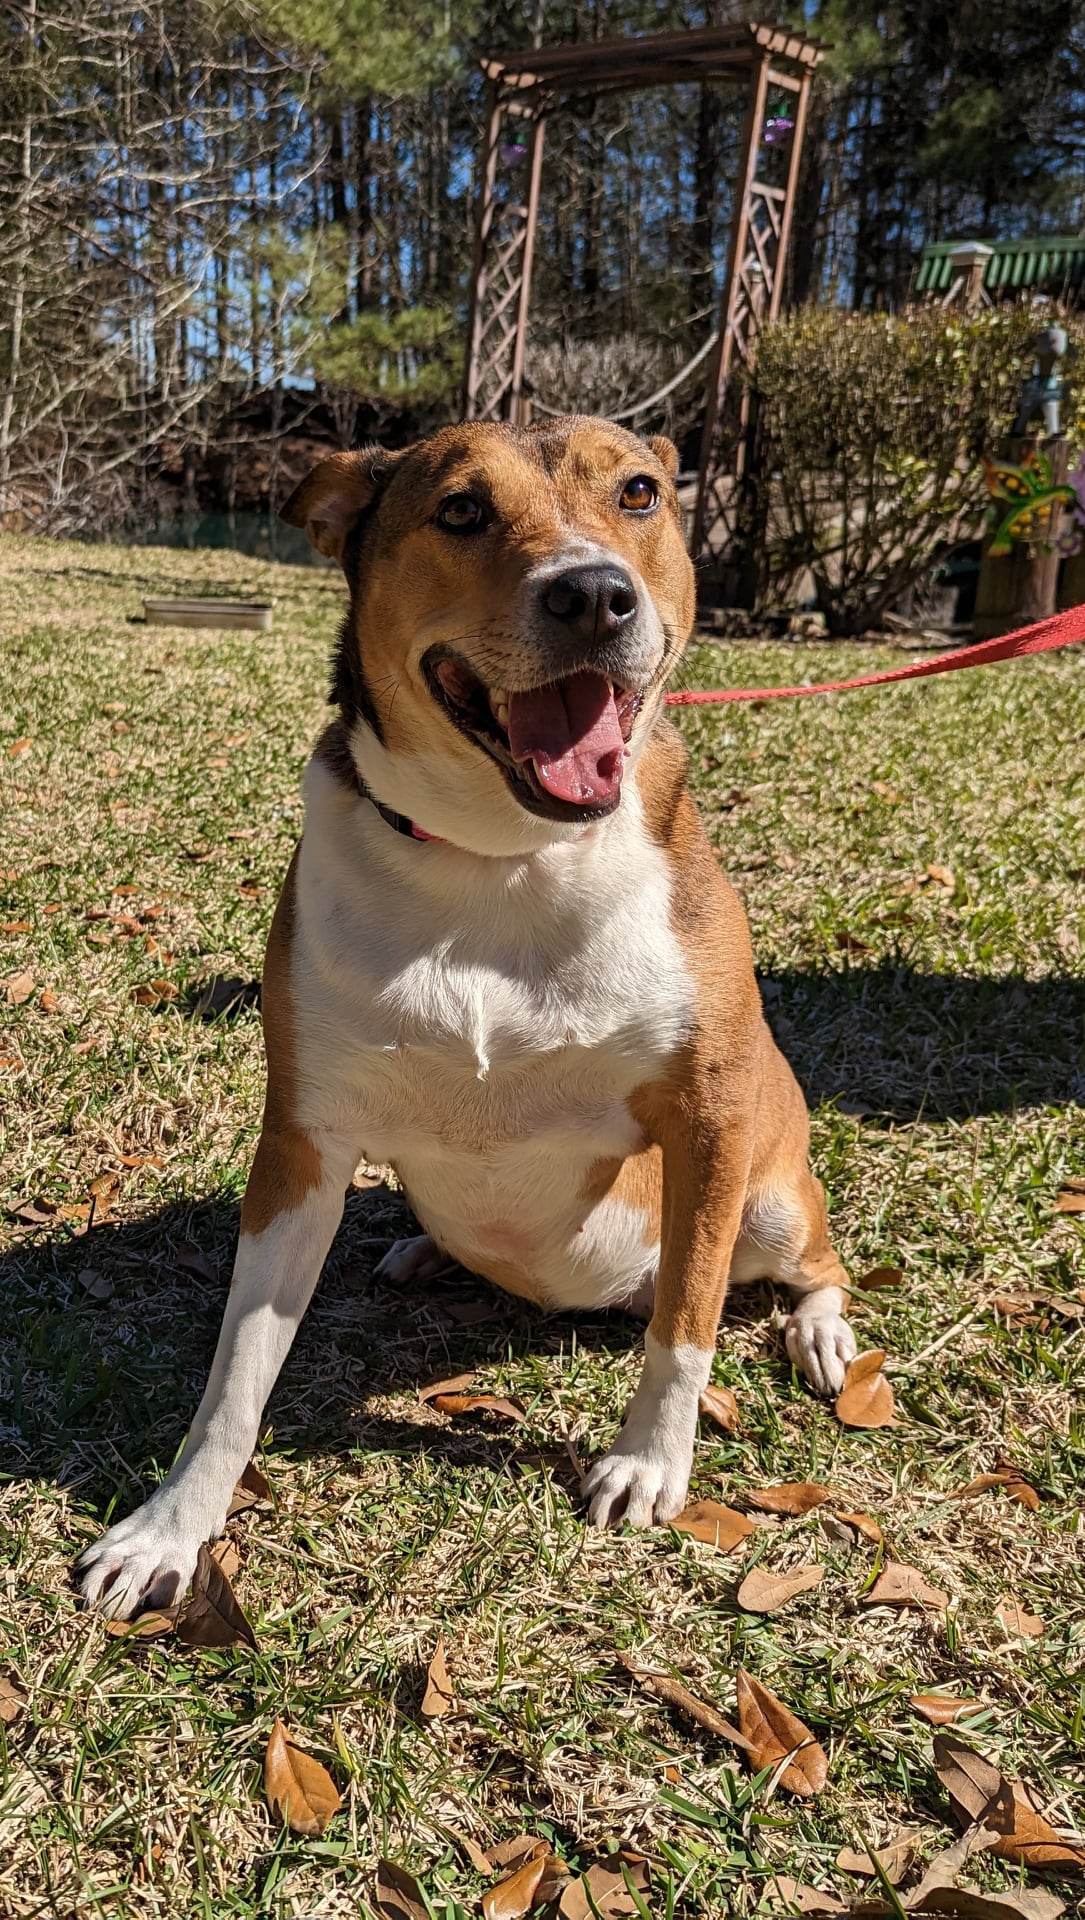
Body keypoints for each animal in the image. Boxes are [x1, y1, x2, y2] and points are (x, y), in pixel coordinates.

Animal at [73, 420, 856, 1620]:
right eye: (460, 511)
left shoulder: (709, 1118)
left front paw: (648, 1464)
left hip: (766, 1194)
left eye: (638, 492)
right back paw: (421, 1250)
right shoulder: (302, 1143)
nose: (595, 595)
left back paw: (818, 1332)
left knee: (806, 1261)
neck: (502, 856)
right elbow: (236, 1372)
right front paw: (173, 1524)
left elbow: (686, 1324)